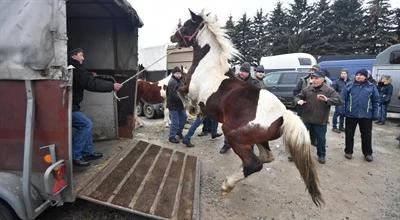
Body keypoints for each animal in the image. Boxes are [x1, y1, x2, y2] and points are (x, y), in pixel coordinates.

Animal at [170, 9, 324, 206]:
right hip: (258, 139)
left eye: (187, 24)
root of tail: (283, 114)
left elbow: (181, 93)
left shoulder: (189, 87)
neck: (208, 64)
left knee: (254, 164)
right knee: (266, 158)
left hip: (234, 135)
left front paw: (191, 112)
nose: (172, 36)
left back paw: (227, 185)